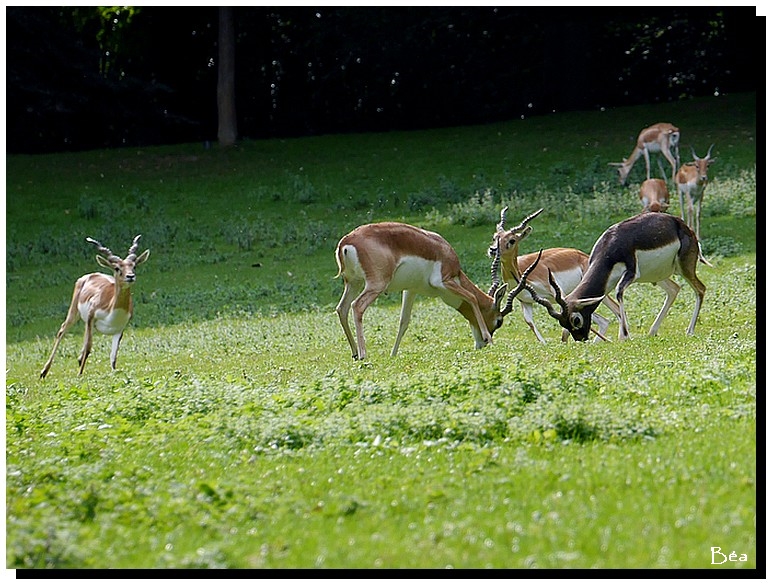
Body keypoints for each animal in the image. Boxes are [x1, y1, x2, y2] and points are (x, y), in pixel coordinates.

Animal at [40, 234, 152, 378]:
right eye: (117, 268)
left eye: (134, 266)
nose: (130, 276)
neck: (112, 310)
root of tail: (89, 275)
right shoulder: (91, 317)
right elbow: (88, 348)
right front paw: (79, 375)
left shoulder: (119, 329)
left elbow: (113, 357)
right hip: (75, 313)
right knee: (62, 330)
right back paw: (44, 372)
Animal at [334, 222, 544, 360]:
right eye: (499, 321)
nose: (481, 344)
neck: (443, 252)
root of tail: (346, 241)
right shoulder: (445, 281)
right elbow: (471, 298)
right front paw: (489, 339)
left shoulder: (410, 290)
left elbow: (404, 321)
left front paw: (393, 354)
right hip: (375, 285)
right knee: (357, 306)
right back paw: (363, 355)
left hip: (353, 283)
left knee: (341, 308)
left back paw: (354, 353)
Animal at [488, 205, 620, 342]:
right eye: (495, 237)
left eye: (512, 240)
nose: (493, 250)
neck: (521, 272)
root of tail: (584, 256)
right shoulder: (526, 302)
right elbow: (530, 323)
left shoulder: (559, 294)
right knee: (604, 321)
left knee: (615, 311)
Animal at [520, 213, 708, 342]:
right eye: (563, 323)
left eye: (576, 319)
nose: (581, 339)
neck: (610, 246)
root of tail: (683, 225)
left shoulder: (631, 273)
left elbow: (619, 293)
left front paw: (624, 335)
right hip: (657, 275)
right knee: (674, 289)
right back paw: (652, 331)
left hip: (684, 267)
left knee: (700, 289)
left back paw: (689, 330)